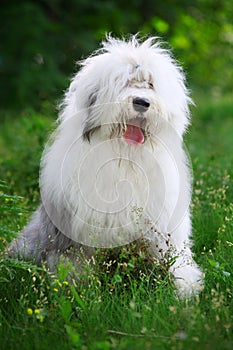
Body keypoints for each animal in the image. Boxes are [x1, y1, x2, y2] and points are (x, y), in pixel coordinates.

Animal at [8, 35, 203, 296]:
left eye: (150, 85)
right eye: (125, 83)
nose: (141, 102)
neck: (125, 157)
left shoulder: (162, 225)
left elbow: (174, 258)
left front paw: (184, 289)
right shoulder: (77, 228)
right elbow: (75, 261)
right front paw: (76, 289)